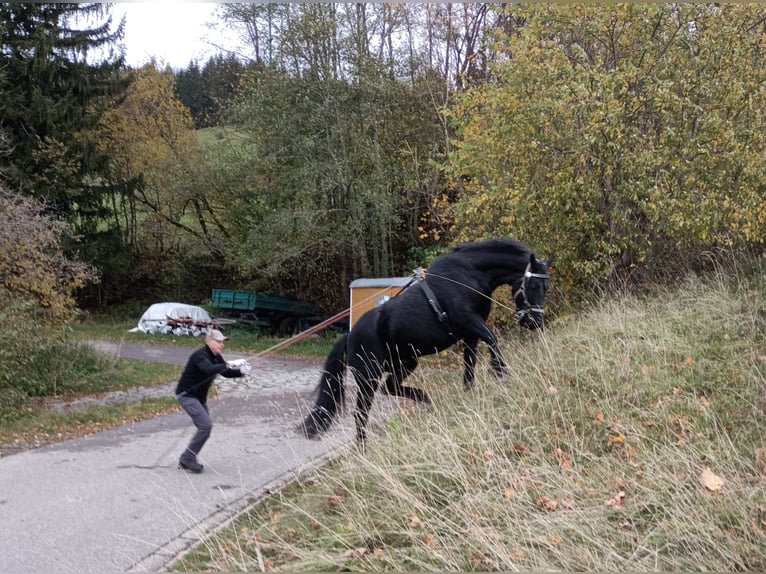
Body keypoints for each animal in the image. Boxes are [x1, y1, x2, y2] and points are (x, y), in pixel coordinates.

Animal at [300, 238, 552, 446]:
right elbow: (491, 338)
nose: (534, 322)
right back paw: (363, 448)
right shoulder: (469, 320)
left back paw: (425, 398)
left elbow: (470, 365)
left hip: (405, 362)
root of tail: (350, 336)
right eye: (534, 285)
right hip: (368, 376)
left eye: (545, 287)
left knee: (390, 387)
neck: (467, 275)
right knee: (361, 413)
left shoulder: (470, 334)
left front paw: (470, 393)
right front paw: (500, 371)